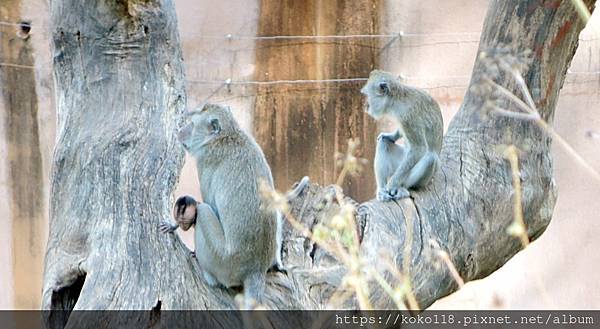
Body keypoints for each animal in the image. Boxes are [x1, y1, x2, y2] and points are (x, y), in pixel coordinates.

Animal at [158, 103, 310, 304]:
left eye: (192, 124)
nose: (180, 131)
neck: (227, 134)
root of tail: (256, 269)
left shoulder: (205, 163)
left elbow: (203, 205)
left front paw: (173, 225)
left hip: (223, 261)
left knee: (203, 211)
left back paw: (208, 274)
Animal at [358, 70, 442, 200]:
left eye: (367, 95)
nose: (365, 105)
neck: (397, 100)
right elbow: (390, 137)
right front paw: (391, 136)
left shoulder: (408, 116)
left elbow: (419, 148)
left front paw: (393, 184)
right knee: (384, 143)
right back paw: (381, 190)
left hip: (421, 178)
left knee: (430, 158)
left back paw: (402, 188)